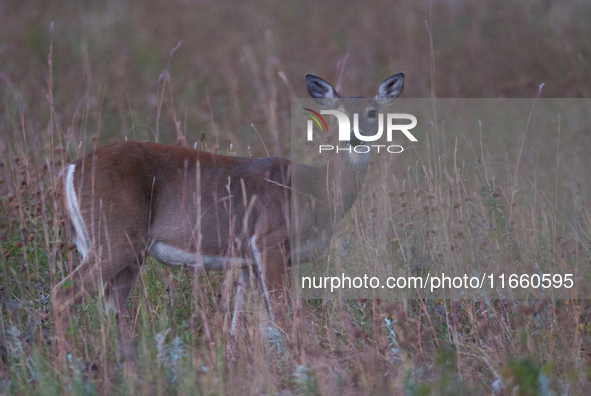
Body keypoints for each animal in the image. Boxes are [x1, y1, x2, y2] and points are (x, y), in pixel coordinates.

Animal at [53, 72, 404, 352]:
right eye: (339, 114)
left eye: (373, 112)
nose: (355, 137)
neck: (314, 192)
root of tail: (71, 169)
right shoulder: (270, 239)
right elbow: (281, 316)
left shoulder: (248, 260)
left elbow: (241, 323)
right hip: (115, 237)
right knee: (63, 293)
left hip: (126, 250)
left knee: (110, 307)